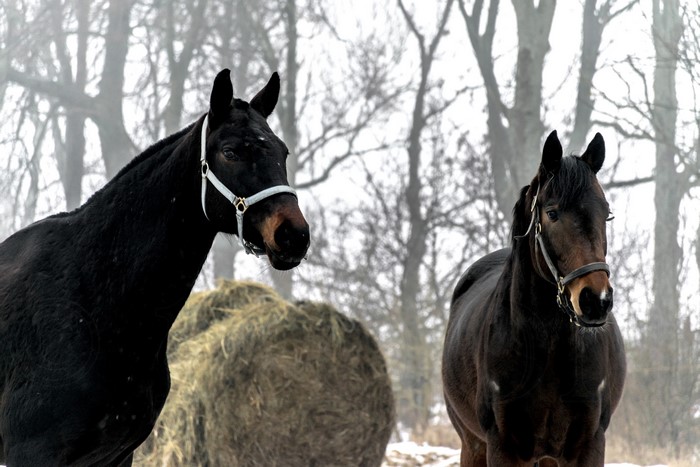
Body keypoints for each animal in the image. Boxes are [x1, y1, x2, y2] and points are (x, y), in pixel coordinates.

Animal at [442, 131, 626, 466]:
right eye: (552, 213)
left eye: (606, 214)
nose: (596, 300)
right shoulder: (503, 447)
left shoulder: (588, 445)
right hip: (472, 445)